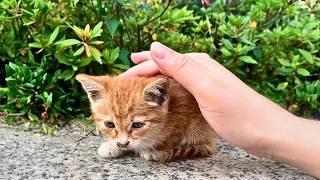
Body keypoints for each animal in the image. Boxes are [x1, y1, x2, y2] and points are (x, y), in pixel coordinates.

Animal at [75, 74, 218, 161]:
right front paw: (112, 146)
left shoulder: (183, 114)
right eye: (109, 124)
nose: (122, 144)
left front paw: (150, 148)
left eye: (137, 125)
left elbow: (170, 138)